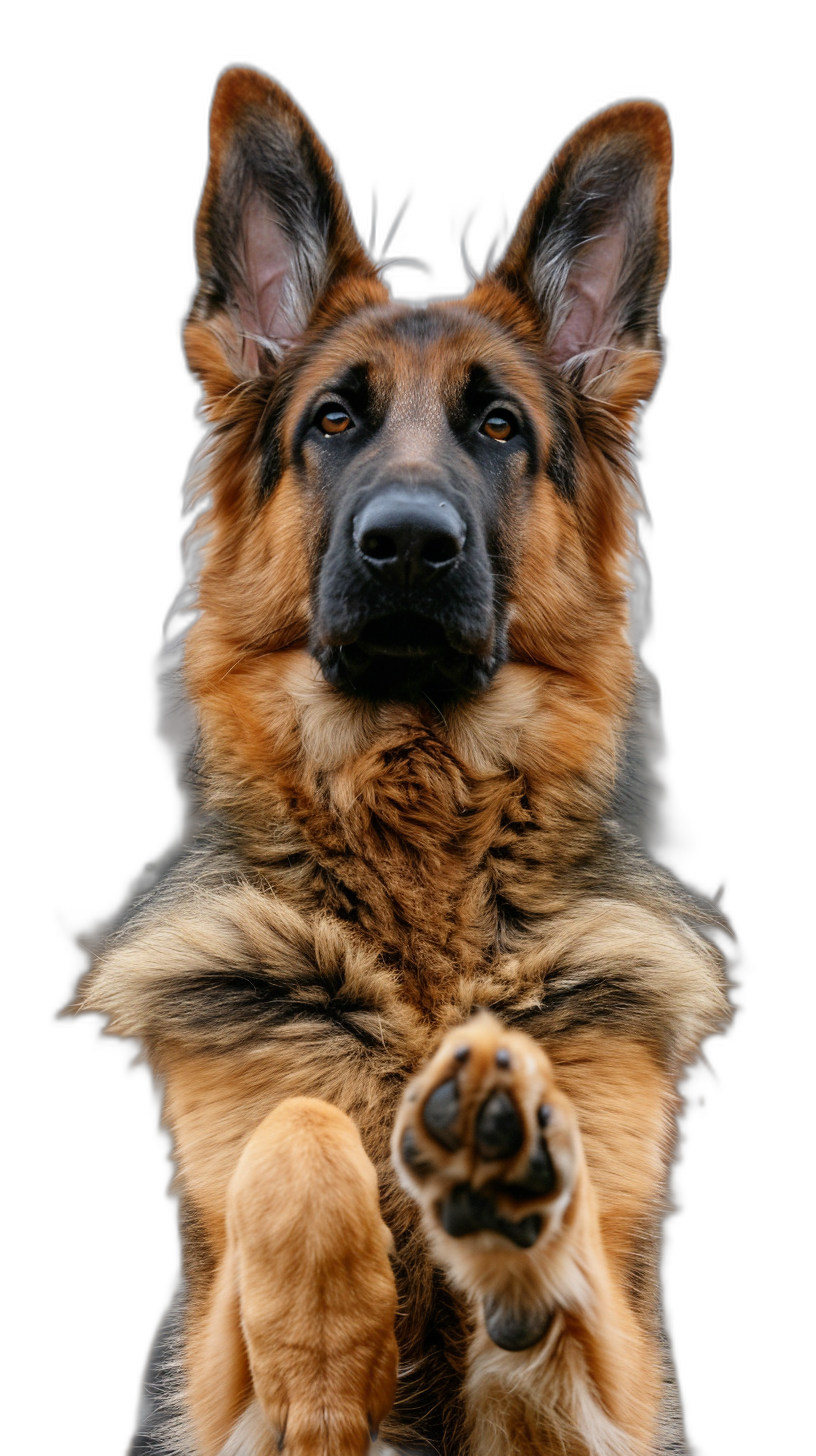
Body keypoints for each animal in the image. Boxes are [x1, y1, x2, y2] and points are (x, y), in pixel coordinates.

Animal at [75, 65, 725, 1456]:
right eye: (333, 419)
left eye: (500, 425)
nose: (411, 544)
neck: (417, 822)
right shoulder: (211, 1369)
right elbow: (298, 1130)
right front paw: (331, 1364)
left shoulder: (610, 1384)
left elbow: (571, 1277)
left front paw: (508, 1164)